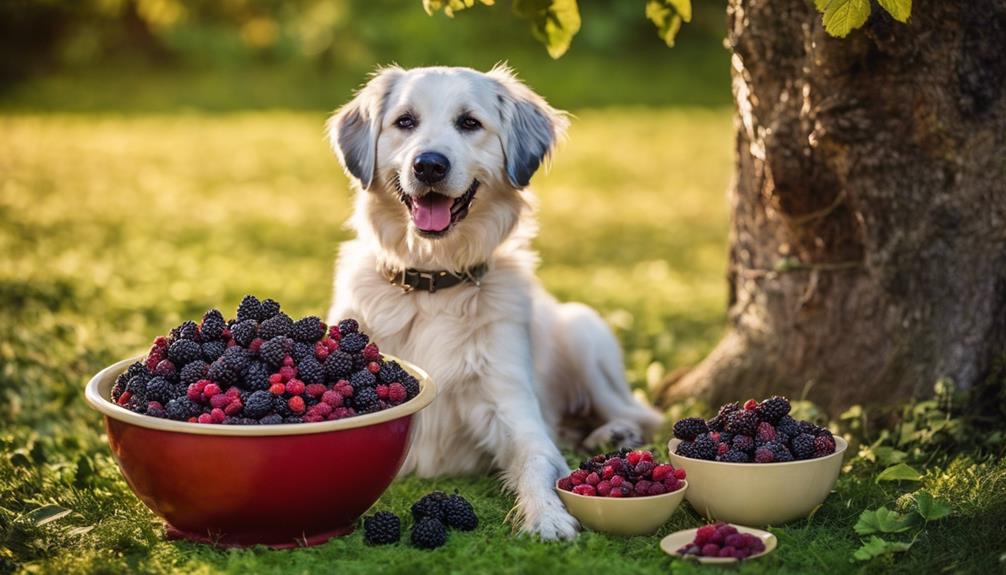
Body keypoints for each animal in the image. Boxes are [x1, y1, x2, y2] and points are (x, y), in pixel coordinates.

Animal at [325, 64, 663, 538]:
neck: (433, 281)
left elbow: (538, 459)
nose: (429, 165)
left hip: (585, 331)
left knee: (638, 416)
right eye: (405, 121)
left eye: (469, 123)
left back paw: (614, 434)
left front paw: (547, 515)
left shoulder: (511, 406)